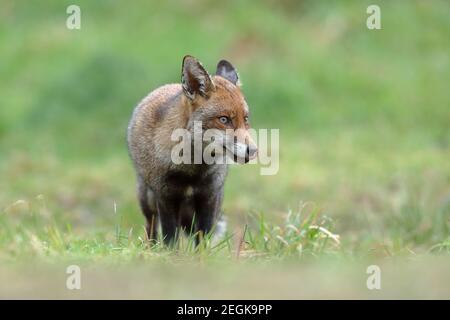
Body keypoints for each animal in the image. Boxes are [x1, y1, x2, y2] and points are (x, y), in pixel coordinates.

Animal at [128, 55, 258, 245]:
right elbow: (170, 240)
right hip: (147, 199)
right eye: (224, 119)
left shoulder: (208, 198)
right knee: (151, 227)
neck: (192, 170)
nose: (253, 151)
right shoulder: (166, 197)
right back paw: (150, 248)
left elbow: (202, 240)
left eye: (245, 119)